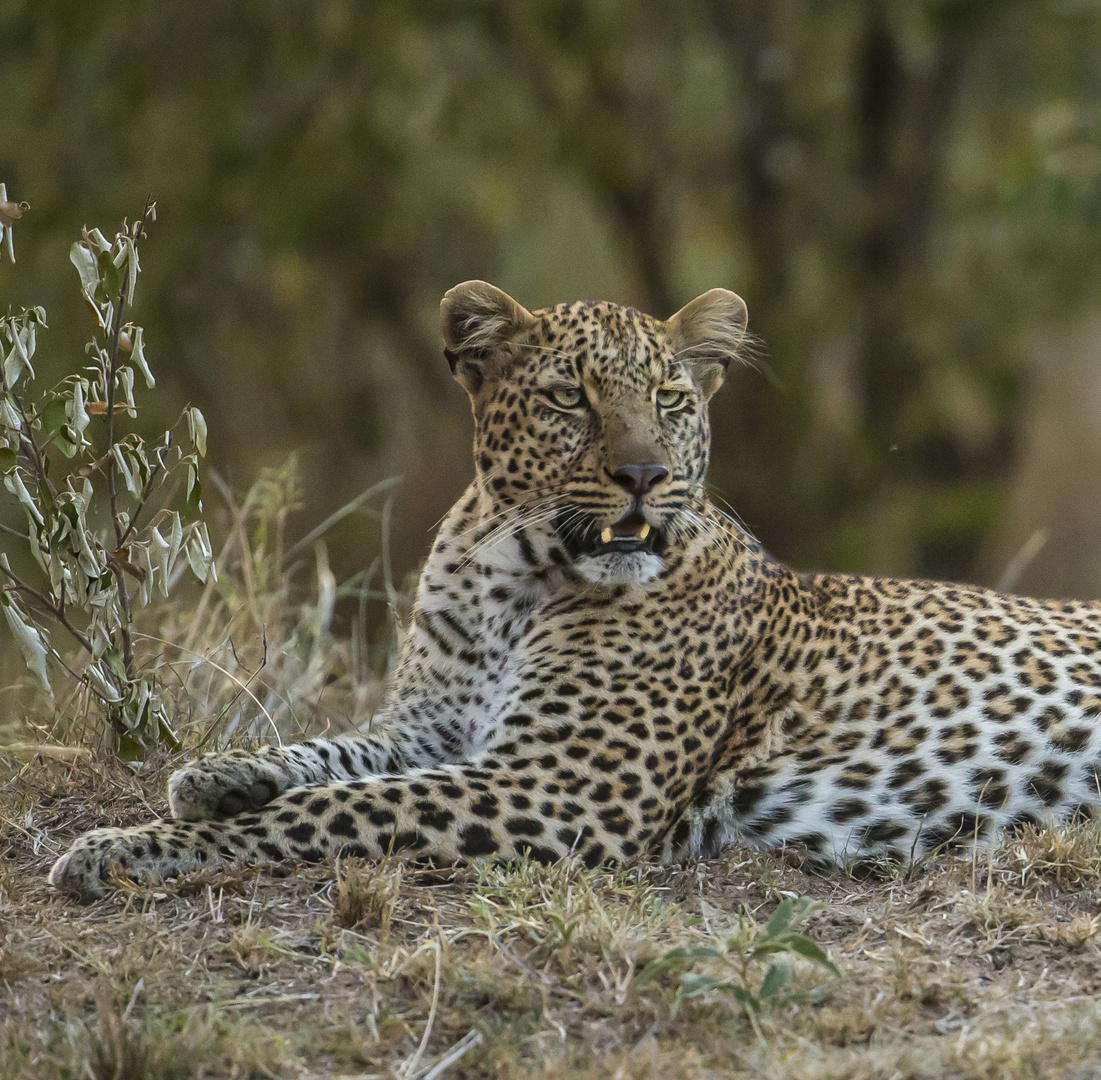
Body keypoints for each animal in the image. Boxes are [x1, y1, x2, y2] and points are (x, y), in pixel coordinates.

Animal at [49, 278, 1101, 902]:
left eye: (671, 401)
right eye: (569, 398)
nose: (643, 475)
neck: (505, 580)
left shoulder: (558, 786)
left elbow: (332, 810)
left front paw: (119, 848)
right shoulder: (432, 728)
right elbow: (333, 754)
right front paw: (216, 775)